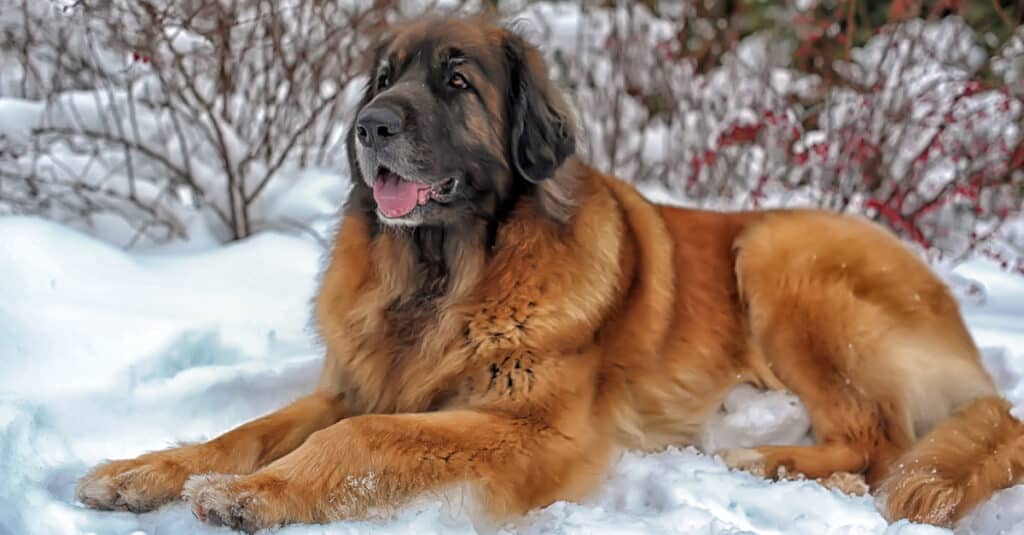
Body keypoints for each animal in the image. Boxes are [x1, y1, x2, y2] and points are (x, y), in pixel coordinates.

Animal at [77, 12, 1024, 528]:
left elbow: (361, 438)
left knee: (879, 439)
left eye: (456, 82)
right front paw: (147, 469)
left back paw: (764, 460)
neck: (444, 273)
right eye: (382, 78)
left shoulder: (531, 424)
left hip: (776, 255)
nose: (369, 126)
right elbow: (245, 430)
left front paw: (257, 494)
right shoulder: (355, 383)